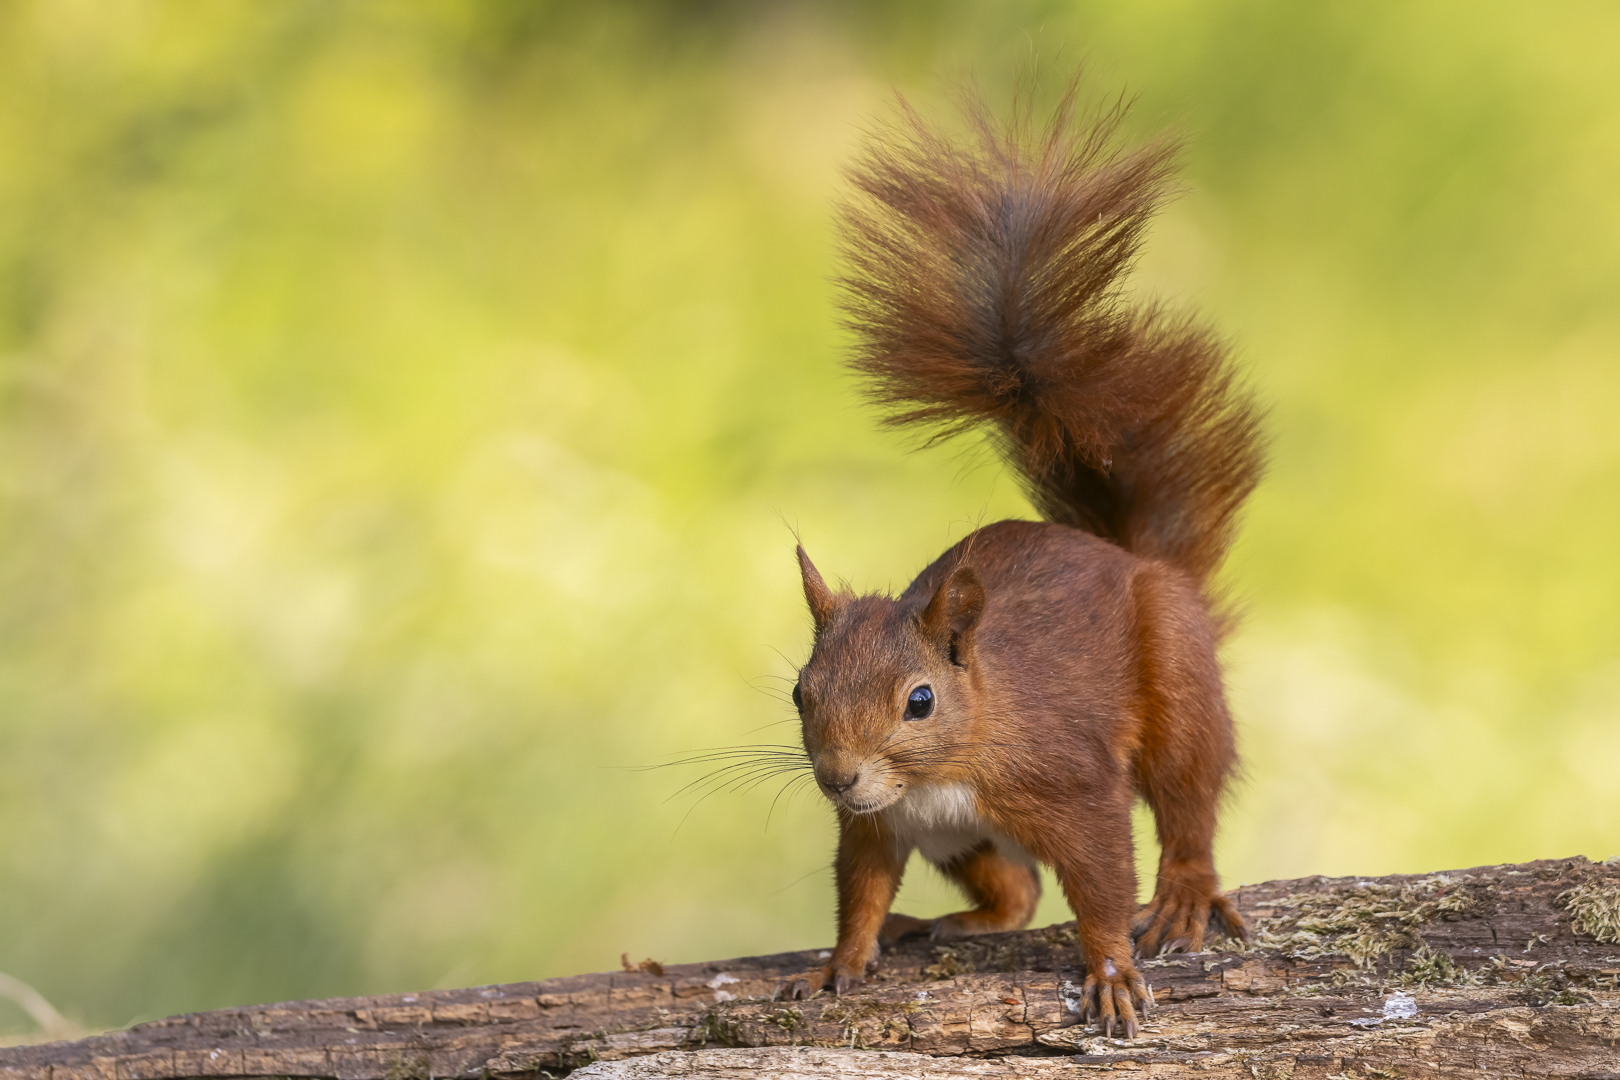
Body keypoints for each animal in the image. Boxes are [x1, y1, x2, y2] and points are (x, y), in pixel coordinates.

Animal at [773, 83, 1266, 1040]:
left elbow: (1104, 881)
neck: (935, 776)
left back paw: (1186, 893)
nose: (839, 777)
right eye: (800, 693)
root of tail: (1135, 559)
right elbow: (859, 893)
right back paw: (948, 922)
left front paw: (1109, 970)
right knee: (1017, 892)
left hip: (1179, 692)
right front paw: (839, 963)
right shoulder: (878, 825)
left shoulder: (1071, 784)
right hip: (969, 842)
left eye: (920, 700)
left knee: (1187, 805)